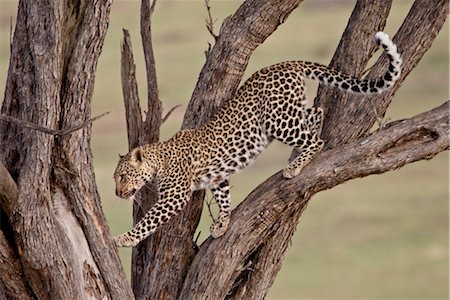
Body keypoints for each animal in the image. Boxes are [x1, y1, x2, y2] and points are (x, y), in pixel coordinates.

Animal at [111, 30, 400, 247]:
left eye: (123, 176)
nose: (117, 193)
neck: (158, 160)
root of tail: (286, 63)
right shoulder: (217, 177)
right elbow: (224, 198)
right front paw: (222, 224)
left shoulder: (174, 196)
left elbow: (149, 219)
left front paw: (125, 238)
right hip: (289, 110)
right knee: (317, 111)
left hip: (277, 120)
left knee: (315, 140)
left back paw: (295, 165)